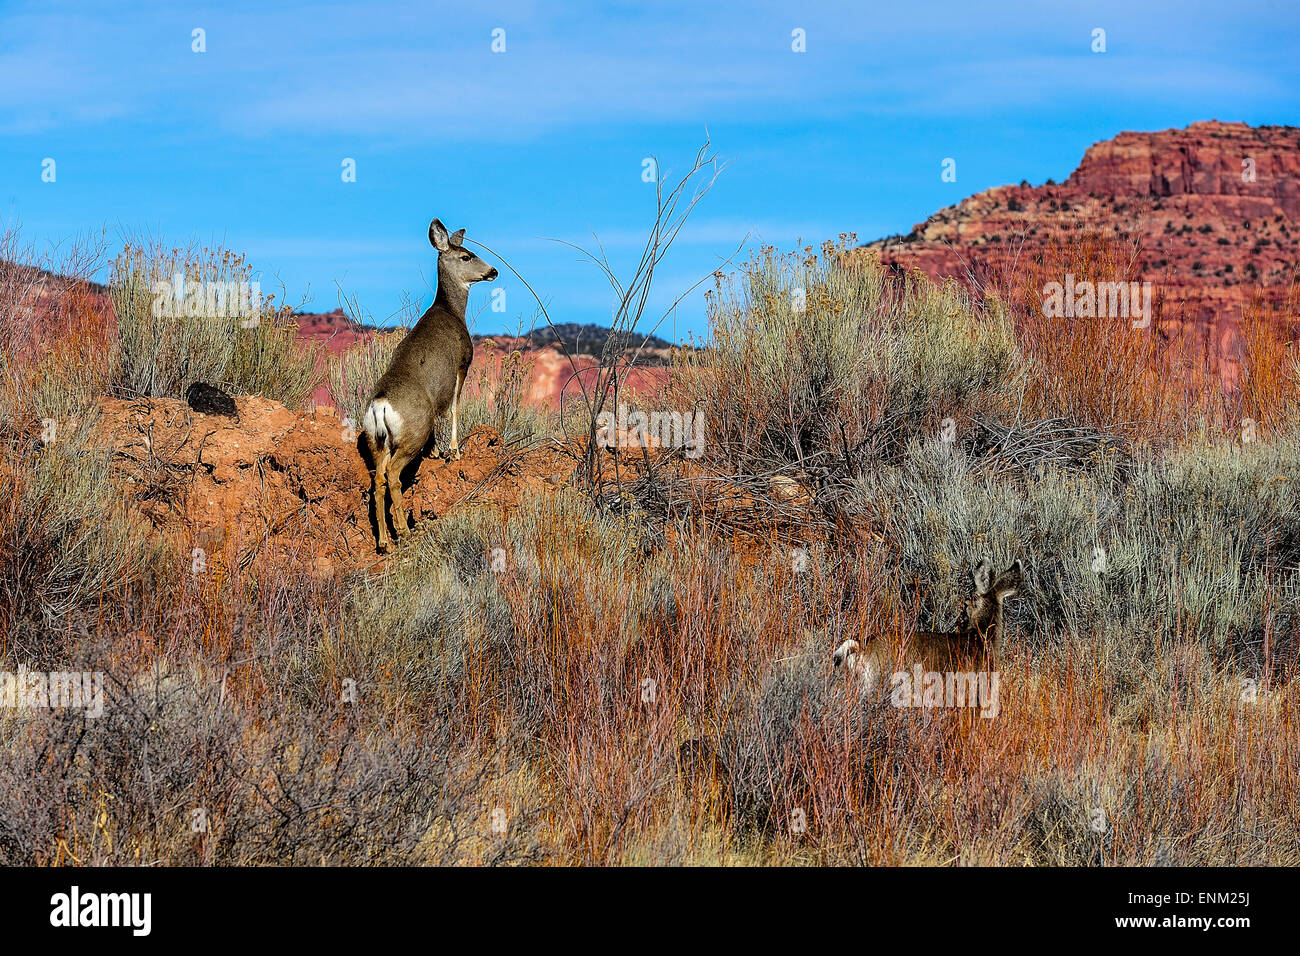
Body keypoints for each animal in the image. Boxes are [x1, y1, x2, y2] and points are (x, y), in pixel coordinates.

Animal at [361, 219, 496, 554]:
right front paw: (454, 452)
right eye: (467, 256)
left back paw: (385, 541)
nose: (494, 271)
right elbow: (455, 408)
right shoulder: (462, 363)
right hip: (411, 435)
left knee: (378, 480)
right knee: (393, 475)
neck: (451, 311)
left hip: (376, 441)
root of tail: (381, 405)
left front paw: (436, 453)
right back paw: (403, 530)